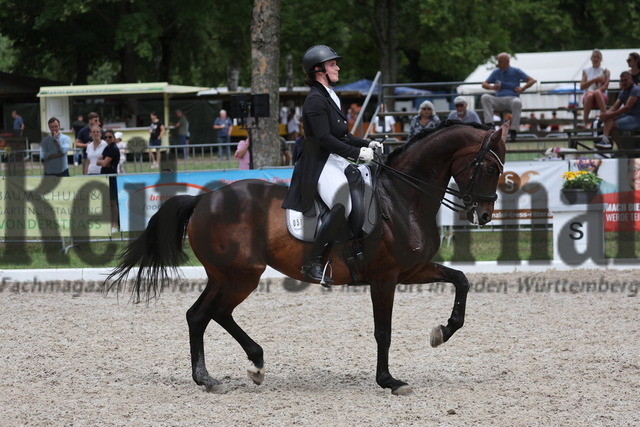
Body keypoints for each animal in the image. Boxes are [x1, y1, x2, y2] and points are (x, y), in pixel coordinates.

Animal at [111, 120, 510, 398]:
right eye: (491, 168)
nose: (484, 215)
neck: (401, 196)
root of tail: (203, 200)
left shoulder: (411, 269)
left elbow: (461, 280)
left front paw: (443, 331)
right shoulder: (385, 277)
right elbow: (383, 331)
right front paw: (390, 381)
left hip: (227, 276)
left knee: (205, 314)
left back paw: (239, 369)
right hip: (241, 275)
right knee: (207, 314)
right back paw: (218, 375)